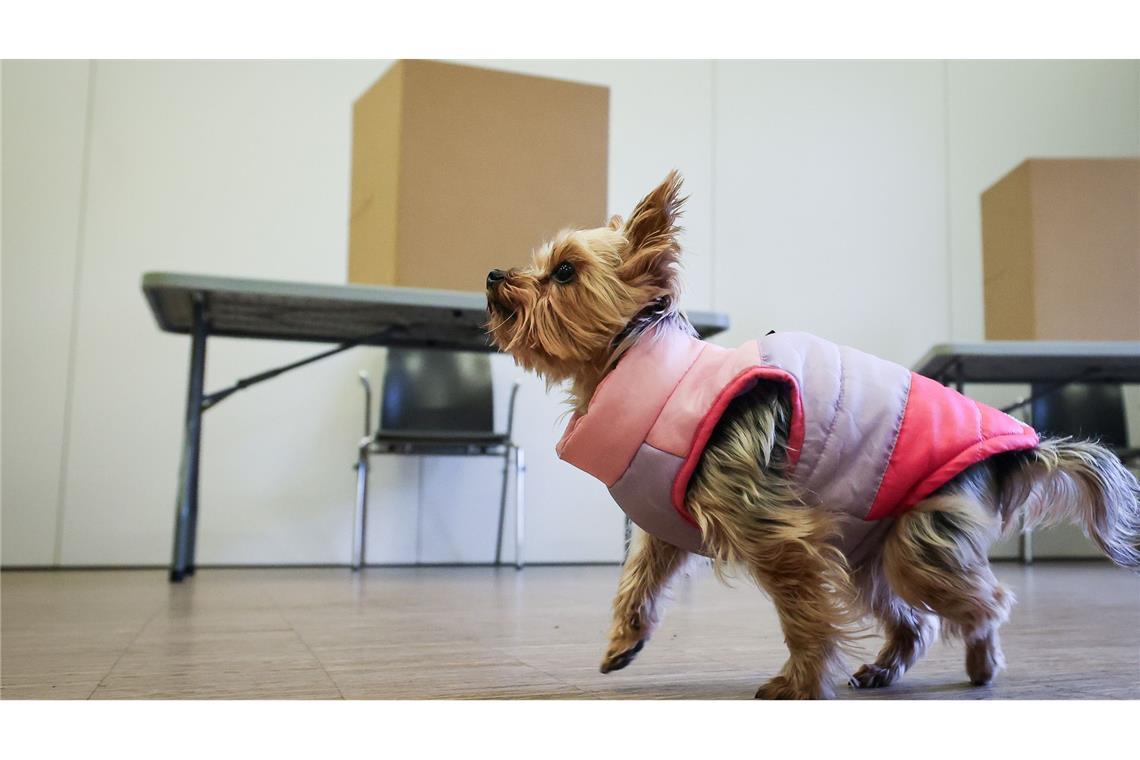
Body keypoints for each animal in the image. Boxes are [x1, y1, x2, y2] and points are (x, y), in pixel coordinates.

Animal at [483, 169, 1140, 697]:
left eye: (564, 271)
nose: (492, 275)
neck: (641, 363)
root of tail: (1019, 450)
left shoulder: (773, 529)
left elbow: (804, 614)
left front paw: (798, 683)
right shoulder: (667, 518)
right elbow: (638, 577)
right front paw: (624, 642)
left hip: (921, 533)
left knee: (985, 602)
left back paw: (982, 663)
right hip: (872, 546)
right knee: (915, 618)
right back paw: (883, 670)